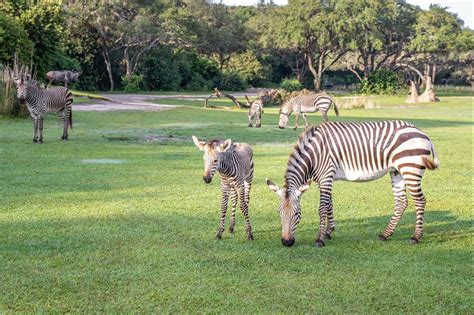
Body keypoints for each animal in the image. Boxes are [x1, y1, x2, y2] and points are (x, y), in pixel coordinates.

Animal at [266, 119, 440, 248]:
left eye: (297, 214)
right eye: (279, 213)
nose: (286, 242)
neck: (314, 155)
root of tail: (422, 132)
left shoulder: (326, 176)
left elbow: (322, 208)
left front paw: (320, 239)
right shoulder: (323, 180)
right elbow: (329, 205)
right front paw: (329, 232)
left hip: (410, 169)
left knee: (420, 201)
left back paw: (416, 237)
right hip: (397, 171)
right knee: (401, 202)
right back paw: (385, 234)